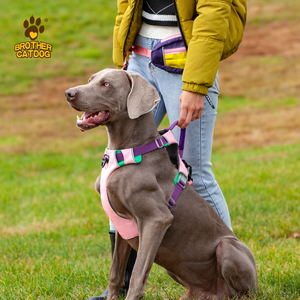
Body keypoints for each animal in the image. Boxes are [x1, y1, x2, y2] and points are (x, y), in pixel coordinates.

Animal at [65, 69, 258, 298]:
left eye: (106, 84)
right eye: (90, 80)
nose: (69, 93)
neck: (126, 150)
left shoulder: (156, 220)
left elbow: (138, 274)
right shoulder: (123, 226)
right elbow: (116, 273)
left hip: (228, 247)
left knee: (242, 290)